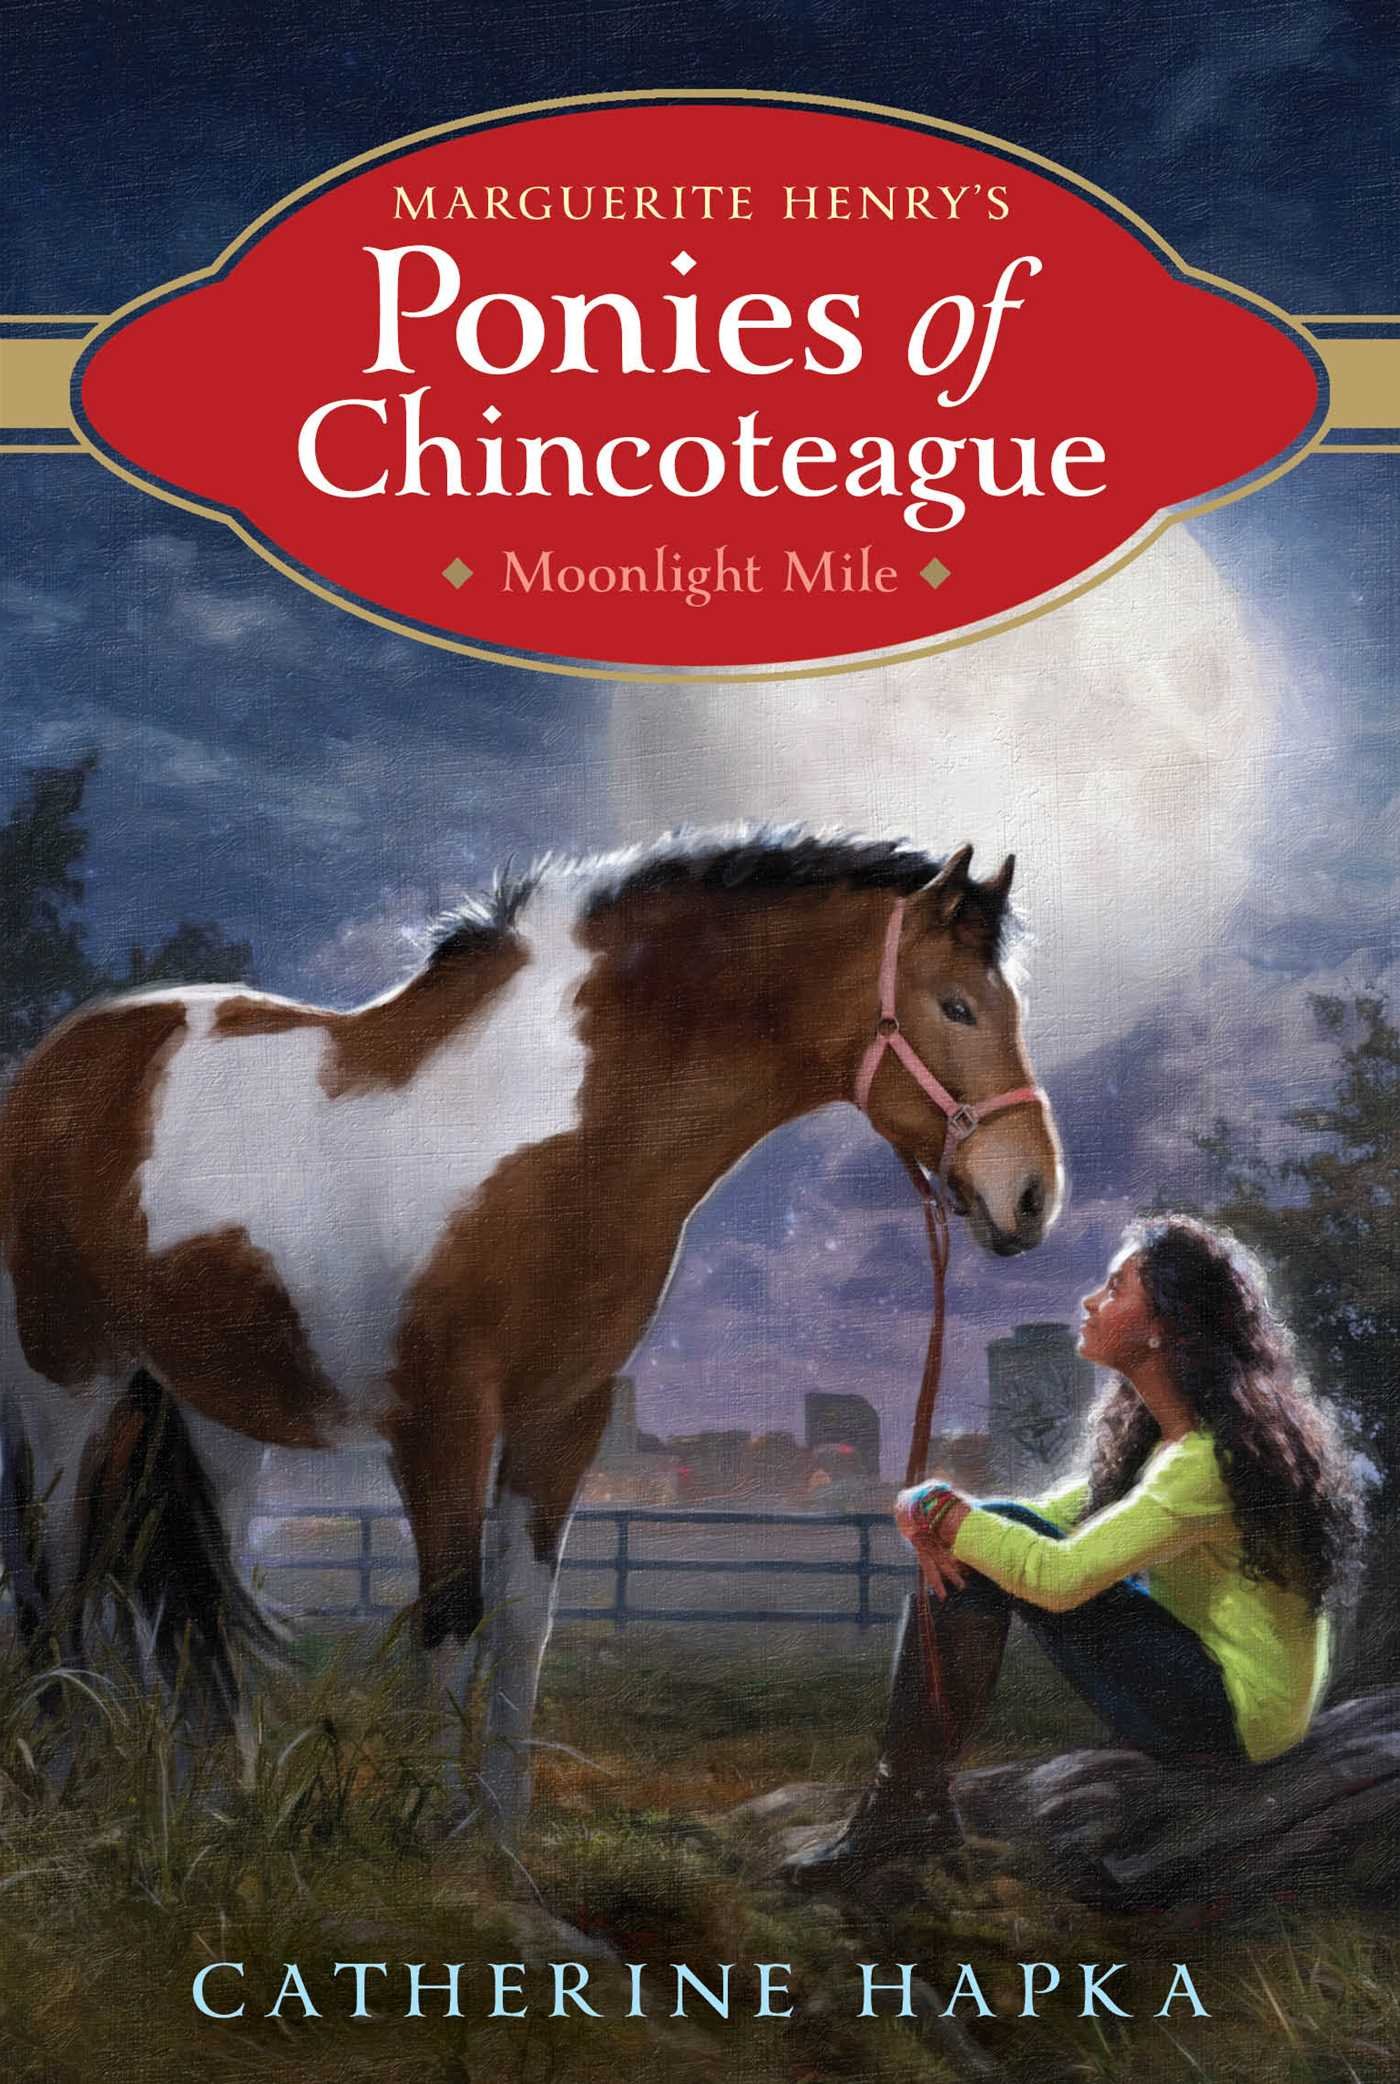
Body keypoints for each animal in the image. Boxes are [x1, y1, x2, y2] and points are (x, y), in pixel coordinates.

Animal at [0, 824, 1063, 1832]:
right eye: (955, 1007)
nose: (1031, 1194)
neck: (542, 1124)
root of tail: (55, 1066)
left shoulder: (564, 1418)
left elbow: (522, 1624)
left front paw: (502, 1842)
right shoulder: (441, 1423)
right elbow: (449, 1614)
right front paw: (428, 1834)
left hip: (212, 1418)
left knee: (179, 1604)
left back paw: (208, 1809)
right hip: (65, 1388)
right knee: (58, 1579)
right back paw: (67, 1788)